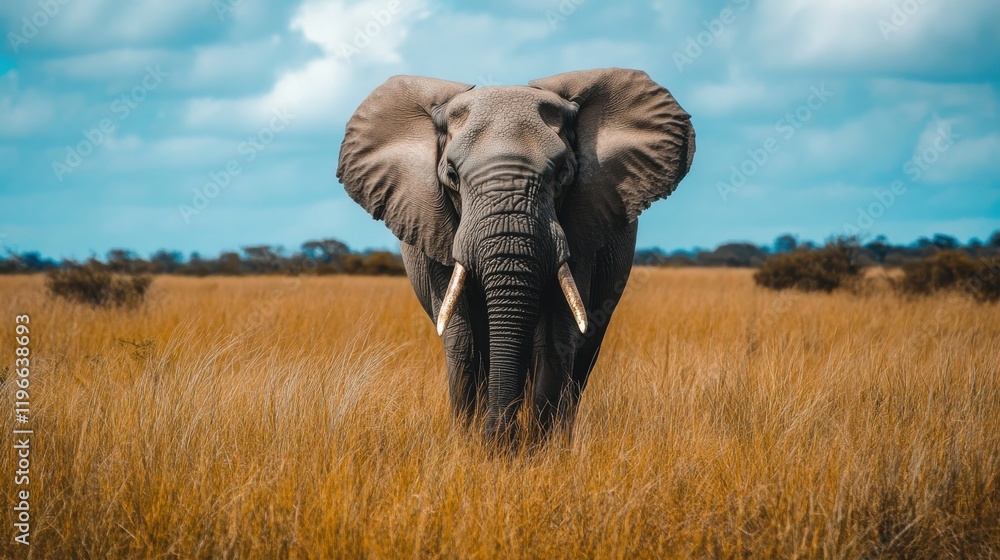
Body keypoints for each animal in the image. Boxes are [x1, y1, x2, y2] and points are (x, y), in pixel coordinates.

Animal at [337, 68, 695, 444]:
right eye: (452, 176)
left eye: (563, 173)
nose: (501, 440)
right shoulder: (434, 229)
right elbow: (462, 335)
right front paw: (468, 445)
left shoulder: (582, 225)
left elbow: (557, 330)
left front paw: (540, 449)